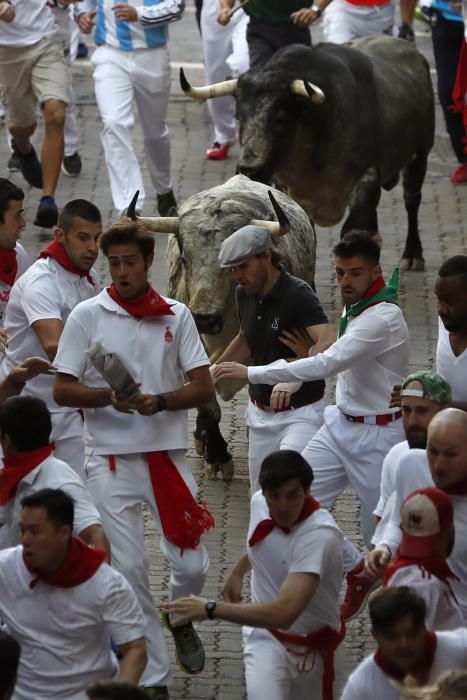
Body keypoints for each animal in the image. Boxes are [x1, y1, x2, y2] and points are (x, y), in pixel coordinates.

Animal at [181, 35, 436, 272]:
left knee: (412, 200)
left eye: (281, 117)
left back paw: (413, 254)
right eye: (238, 117)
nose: (250, 169)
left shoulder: (367, 179)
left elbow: (354, 232)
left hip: (421, 154)